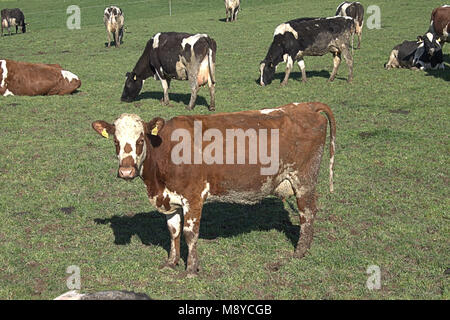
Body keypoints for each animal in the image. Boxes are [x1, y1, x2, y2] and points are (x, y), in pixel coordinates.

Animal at [92, 101, 338, 276]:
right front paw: (171, 262)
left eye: (140, 140)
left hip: (304, 180)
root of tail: (305, 106)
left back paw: (300, 252)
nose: (126, 171)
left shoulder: (193, 196)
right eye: (115, 141)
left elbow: (190, 233)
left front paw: (191, 269)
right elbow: (173, 231)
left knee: (307, 213)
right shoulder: (169, 199)